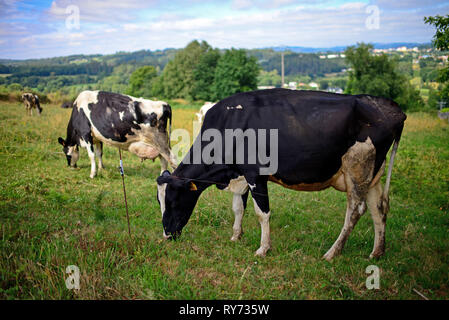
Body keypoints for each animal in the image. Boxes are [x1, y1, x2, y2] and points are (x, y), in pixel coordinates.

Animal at [157, 88, 406, 260]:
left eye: (173, 200)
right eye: (160, 201)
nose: (167, 235)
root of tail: (392, 109)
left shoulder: (255, 174)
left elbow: (262, 213)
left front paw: (263, 248)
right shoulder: (240, 174)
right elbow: (238, 207)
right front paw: (236, 236)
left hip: (357, 168)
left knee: (355, 211)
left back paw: (332, 253)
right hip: (372, 175)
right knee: (378, 210)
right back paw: (377, 252)